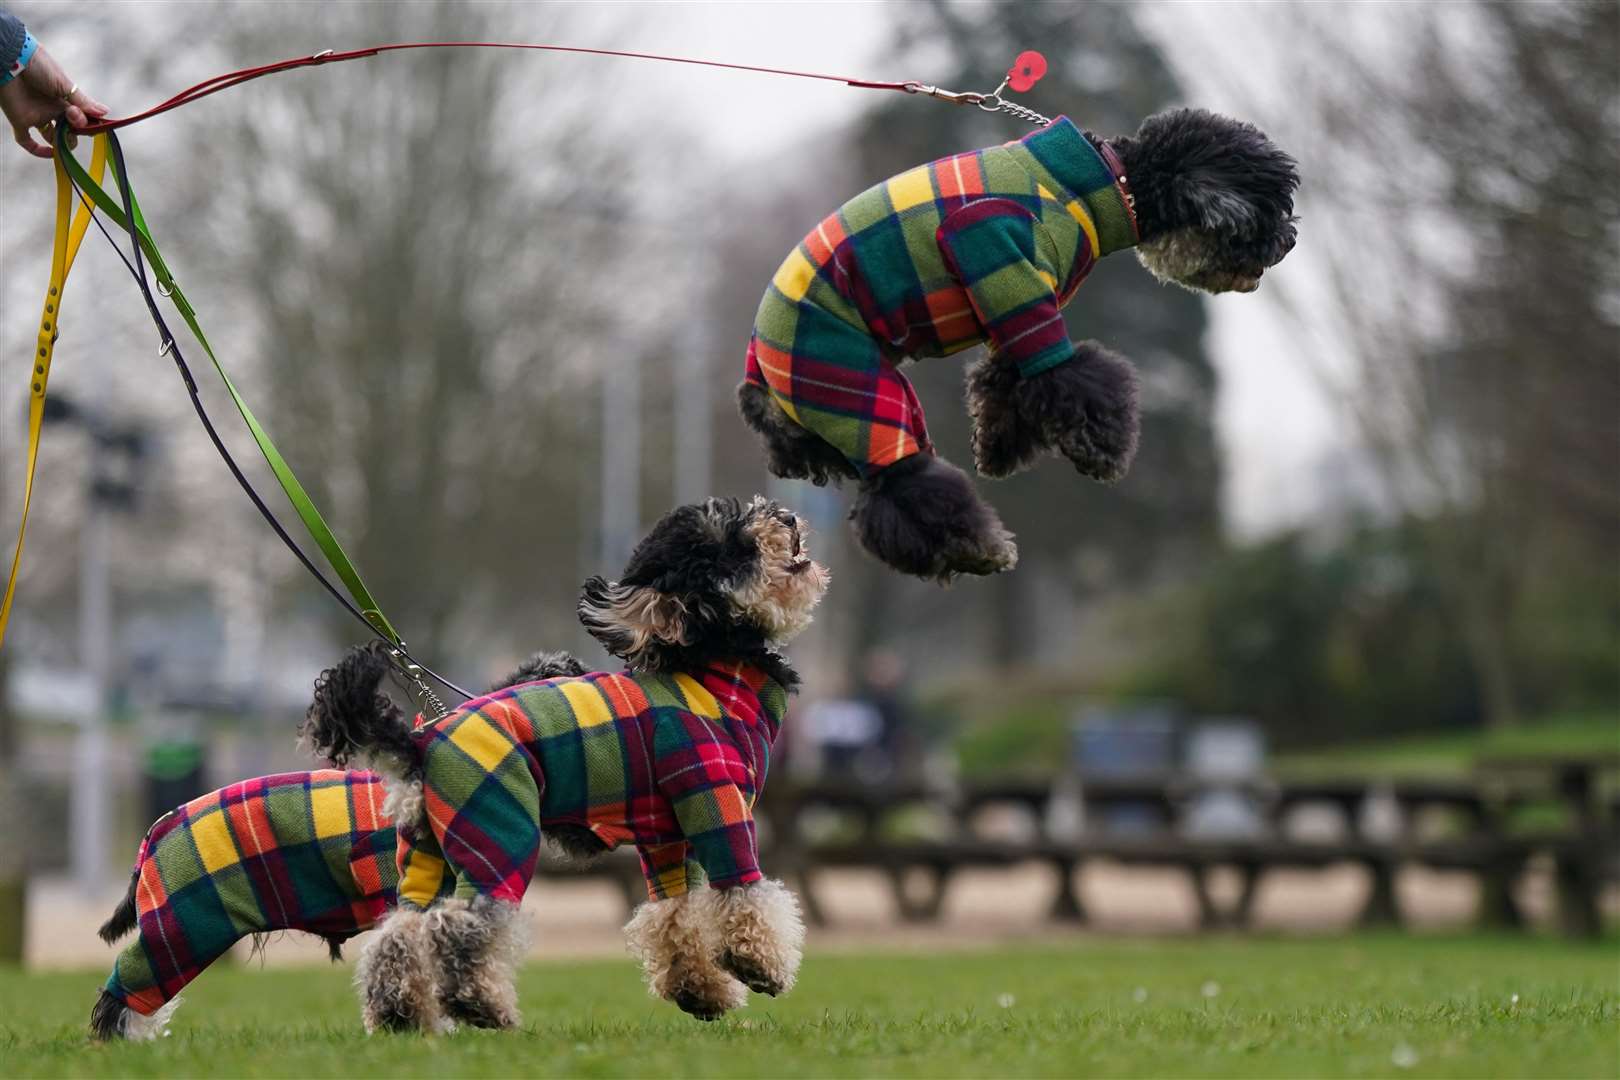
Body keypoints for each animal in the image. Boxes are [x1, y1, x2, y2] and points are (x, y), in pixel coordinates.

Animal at [304, 495, 829, 1036]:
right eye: (732, 546)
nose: (787, 517)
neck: (712, 672)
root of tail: (419, 741)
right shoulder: (715, 800)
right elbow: (743, 891)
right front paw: (758, 964)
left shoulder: (664, 836)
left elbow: (673, 913)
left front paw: (699, 990)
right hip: (498, 829)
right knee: (462, 923)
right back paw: (480, 1005)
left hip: (428, 849)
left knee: (401, 930)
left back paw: (399, 1014)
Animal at [741, 107, 1296, 582]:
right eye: (1270, 205)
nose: (1288, 243)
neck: (1105, 182)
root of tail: (758, 368)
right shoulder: (993, 250)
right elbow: (1072, 376)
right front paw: (1100, 450)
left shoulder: (1015, 308)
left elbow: (1007, 382)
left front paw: (995, 448)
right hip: (849, 385)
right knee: (904, 486)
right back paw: (979, 549)